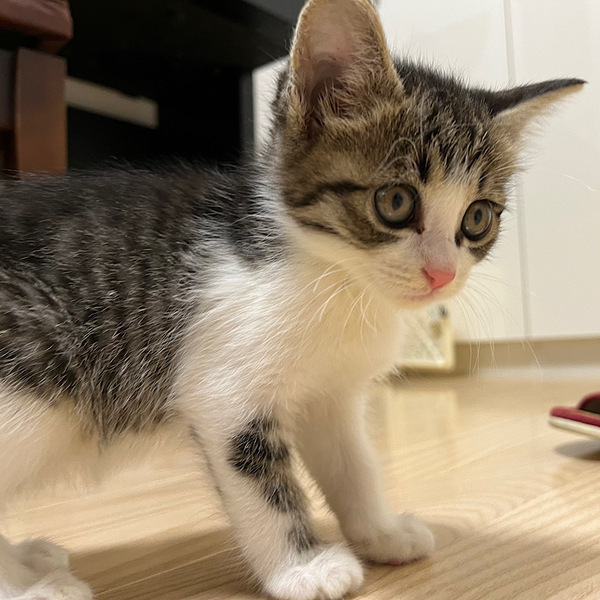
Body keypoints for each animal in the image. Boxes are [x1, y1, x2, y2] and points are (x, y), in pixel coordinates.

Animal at [0, 0, 584, 598]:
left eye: (477, 218)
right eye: (395, 202)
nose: (441, 274)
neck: (339, 283)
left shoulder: (331, 394)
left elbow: (353, 464)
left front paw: (381, 532)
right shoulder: (224, 391)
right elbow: (263, 483)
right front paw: (305, 568)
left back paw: (30, 558)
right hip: (27, 394)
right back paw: (29, 584)